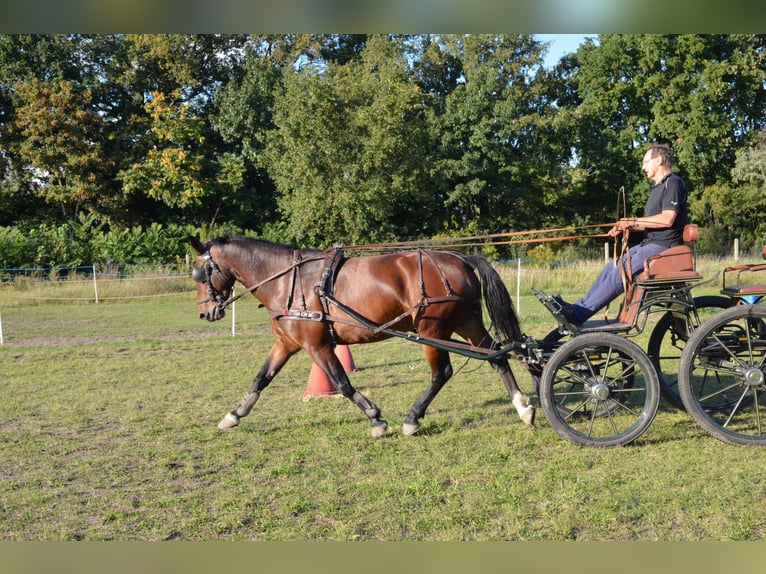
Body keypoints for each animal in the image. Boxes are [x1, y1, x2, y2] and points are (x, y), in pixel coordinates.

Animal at [190, 235, 534, 437]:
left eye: (198, 273)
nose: (206, 313)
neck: (288, 280)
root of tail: (461, 259)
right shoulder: (286, 343)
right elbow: (261, 379)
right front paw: (233, 415)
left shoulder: (317, 346)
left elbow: (342, 383)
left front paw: (376, 419)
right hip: (467, 322)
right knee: (497, 357)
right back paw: (523, 407)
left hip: (432, 330)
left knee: (442, 372)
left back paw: (412, 419)